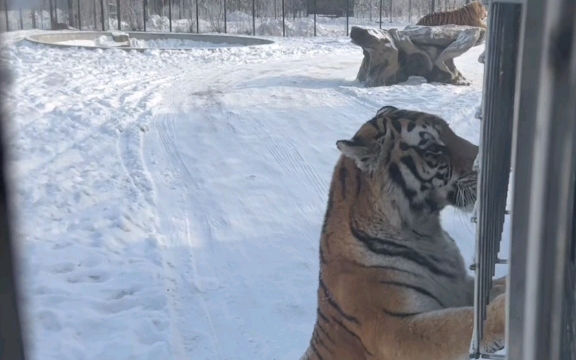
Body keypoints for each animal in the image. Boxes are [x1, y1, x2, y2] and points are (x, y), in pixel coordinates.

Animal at [300, 105, 506, 360]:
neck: (427, 232)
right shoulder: (393, 328)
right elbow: (462, 324)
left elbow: (491, 289)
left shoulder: (458, 286)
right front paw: (506, 310)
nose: (487, 164)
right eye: (434, 149)